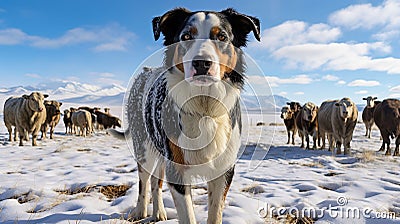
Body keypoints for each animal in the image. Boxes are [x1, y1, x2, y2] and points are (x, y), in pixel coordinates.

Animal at [114, 7, 260, 223]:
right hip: (144, 147)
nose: (201, 63)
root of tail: (145, 72)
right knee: (144, 180)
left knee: (156, 181)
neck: (204, 108)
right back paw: (140, 211)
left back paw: (159, 212)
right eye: (186, 36)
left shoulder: (223, 171)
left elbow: (215, 214)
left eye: (222, 37)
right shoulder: (177, 170)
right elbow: (188, 215)